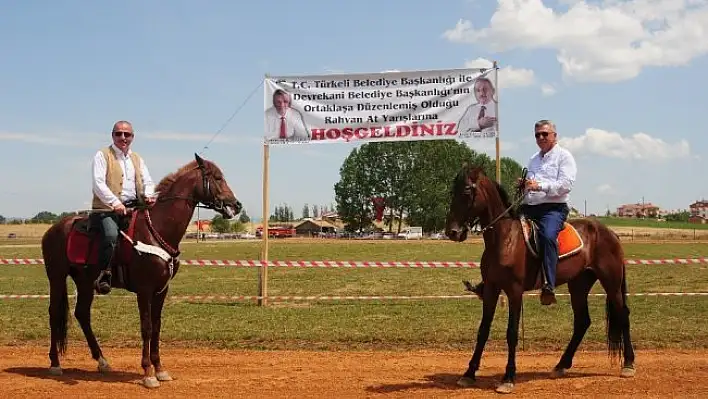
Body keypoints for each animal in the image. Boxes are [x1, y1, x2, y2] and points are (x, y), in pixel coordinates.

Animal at [40, 154, 241, 390]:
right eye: (217, 177)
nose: (236, 205)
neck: (158, 229)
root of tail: (53, 229)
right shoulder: (144, 290)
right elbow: (146, 327)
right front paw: (148, 373)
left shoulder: (161, 290)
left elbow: (156, 327)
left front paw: (160, 369)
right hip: (56, 276)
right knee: (54, 313)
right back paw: (55, 363)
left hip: (85, 282)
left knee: (82, 314)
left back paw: (102, 360)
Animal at [442, 165, 636, 394]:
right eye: (452, 191)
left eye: (466, 192)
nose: (452, 232)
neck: (504, 239)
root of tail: (611, 233)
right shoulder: (491, 289)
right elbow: (483, 330)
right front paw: (469, 373)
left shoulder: (514, 291)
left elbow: (512, 333)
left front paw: (508, 377)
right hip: (579, 285)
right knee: (582, 321)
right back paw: (561, 365)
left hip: (611, 282)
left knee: (622, 315)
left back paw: (628, 365)